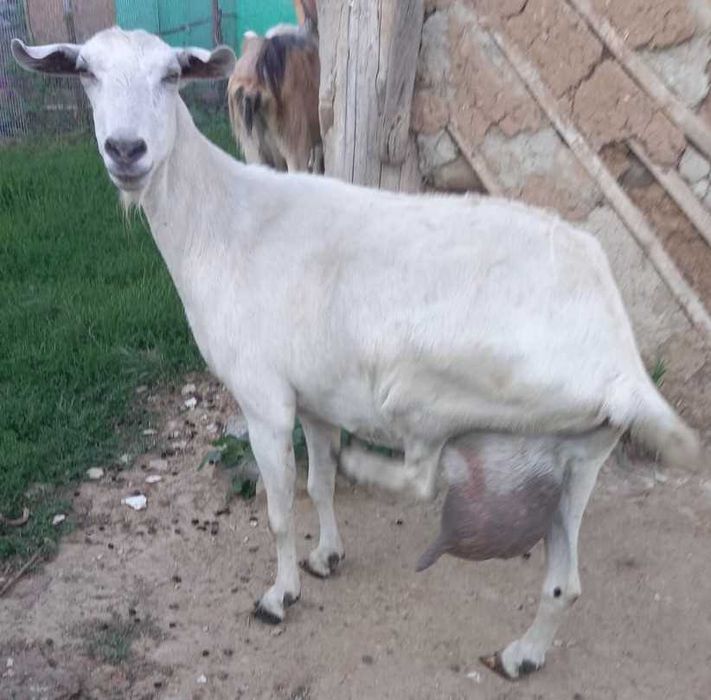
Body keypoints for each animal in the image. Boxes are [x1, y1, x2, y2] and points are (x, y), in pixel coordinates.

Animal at [12, 28, 700, 680]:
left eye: (171, 74)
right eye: (85, 71)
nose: (126, 150)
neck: (223, 223)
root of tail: (619, 364)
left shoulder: (265, 398)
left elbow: (281, 508)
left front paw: (279, 594)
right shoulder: (317, 397)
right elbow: (318, 485)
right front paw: (326, 557)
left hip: (429, 387)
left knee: (424, 475)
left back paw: (371, 467)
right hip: (579, 455)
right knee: (565, 583)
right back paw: (521, 656)